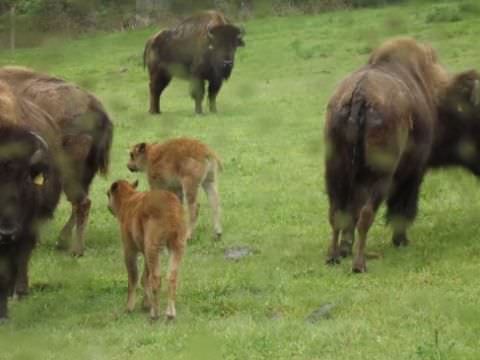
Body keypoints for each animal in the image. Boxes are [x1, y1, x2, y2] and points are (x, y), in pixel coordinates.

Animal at [107, 180, 188, 320]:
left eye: (108, 194)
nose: (108, 206)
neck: (129, 200)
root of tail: (172, 210)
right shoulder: (146, 253)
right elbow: (145, 277)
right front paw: (146, 304)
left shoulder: (129, 249)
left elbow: (134, 277)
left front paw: (129, 307)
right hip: (177, 247)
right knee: (172, 277)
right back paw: (170, 313)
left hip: (153, 247)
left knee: (156, 278)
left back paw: (155, 314)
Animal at [324, 37, 448, 272]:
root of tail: (360, 95)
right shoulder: (414, 172)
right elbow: (402, 206)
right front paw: (401, 240)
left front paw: (346, 247)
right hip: (380, 176)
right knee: (365, 214)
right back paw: (359, 264)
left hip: (336, 170)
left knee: (338, 213)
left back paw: (334, 256)